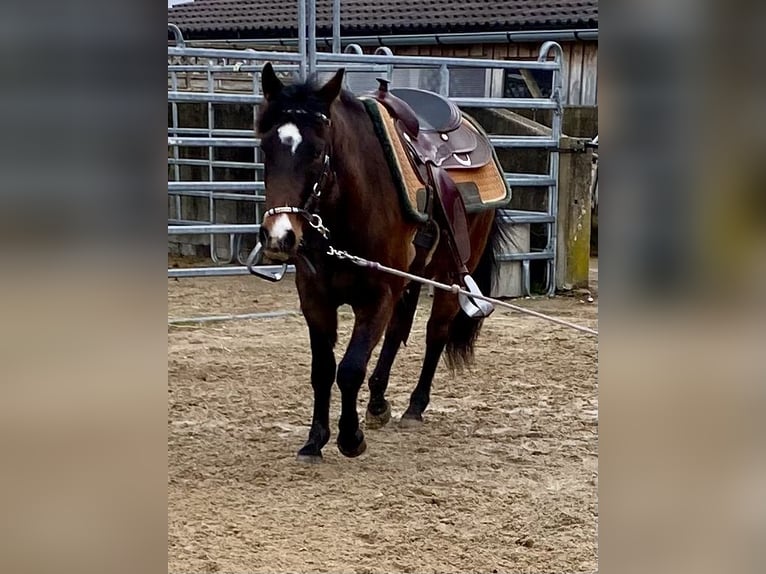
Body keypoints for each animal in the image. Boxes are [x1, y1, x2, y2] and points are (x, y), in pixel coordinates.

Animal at [254, 63, 505, 462]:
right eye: (265, 147)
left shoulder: (377, 296)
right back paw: (377, 403)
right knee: (399, 329)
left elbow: (350, 368)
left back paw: (414, 407)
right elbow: (323, 370)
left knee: (435, 332)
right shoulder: (315, 299)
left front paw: (350, 437)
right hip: (411, 277)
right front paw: (315, 440)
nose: (280, 236)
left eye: (318, 151)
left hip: (449, 276)